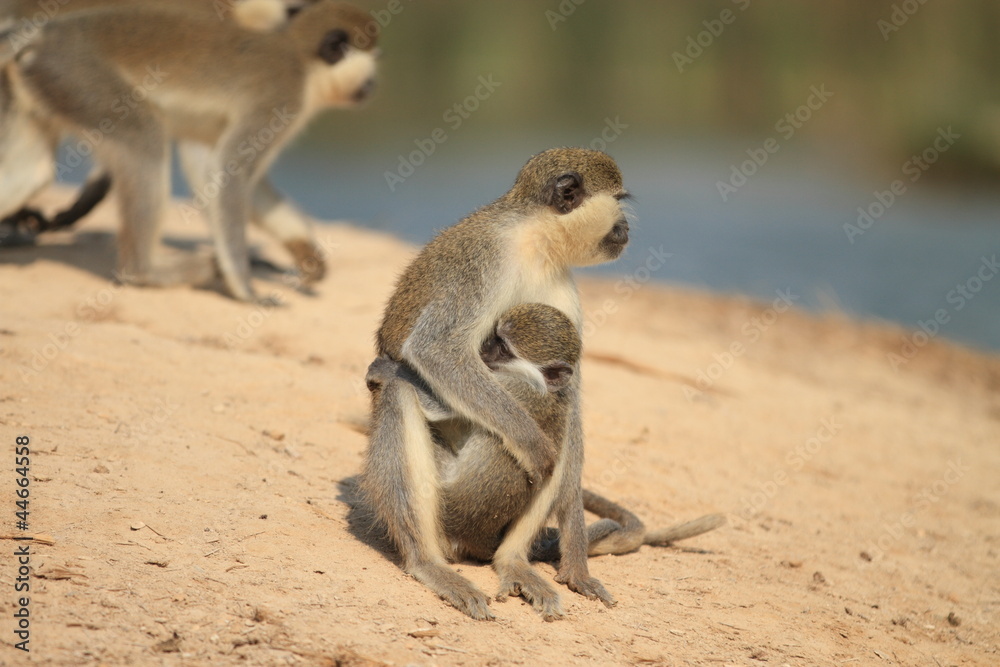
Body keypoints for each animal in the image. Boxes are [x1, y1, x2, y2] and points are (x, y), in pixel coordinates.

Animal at [0, 0, 374, 297]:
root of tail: (42, 35)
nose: (372, 86)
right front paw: (245, 289)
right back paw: (145, 270)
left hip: (47, 82)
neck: (302, 62)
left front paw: (305, 251)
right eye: (370, 72)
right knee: (142, 137)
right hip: (77, 77)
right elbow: (229, 170)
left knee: (32, 173)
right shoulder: (281, 98)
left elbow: (213, 169)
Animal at [360, 147, 633, 621]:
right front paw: (534, 443)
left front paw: (575, 563)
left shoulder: (561, 292)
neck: (536, 240)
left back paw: (513, 562)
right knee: (401, 397)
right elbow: (436, 348)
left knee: (564, 424)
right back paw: (427, 562)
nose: (627, 227)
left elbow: (570, 395)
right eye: (618, 201)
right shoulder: (485, 259)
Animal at [364, 303, 725, 603]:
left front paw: (390, 370)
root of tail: (476, 537)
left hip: (443, 498)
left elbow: (440, 405)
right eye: (495, 334)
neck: (543, 387)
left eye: (503, 346)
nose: (482, 350)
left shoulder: (509, 383)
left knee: (400, 397)